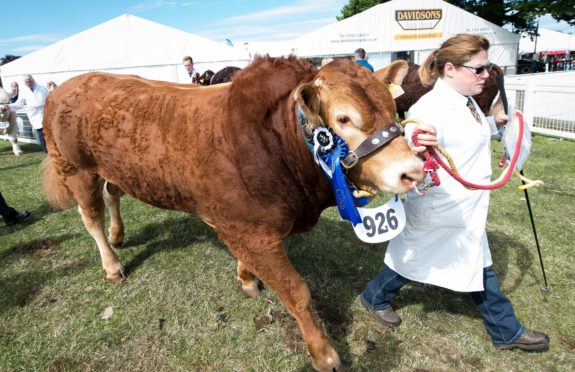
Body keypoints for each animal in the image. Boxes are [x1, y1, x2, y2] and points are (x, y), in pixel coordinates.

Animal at [42, 56, 426, 372]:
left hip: (115, 169)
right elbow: (296, 292)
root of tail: (69, 84)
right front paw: (324, 355)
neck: (275, 142)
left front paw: (246, 277)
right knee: (91, 216)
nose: (412, 171)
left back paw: (118, 233)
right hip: (75, 168)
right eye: (343, 118)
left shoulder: (244, 228)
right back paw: (112, 264)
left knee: (113, 194)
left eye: (392, 107)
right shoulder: (252, 231)